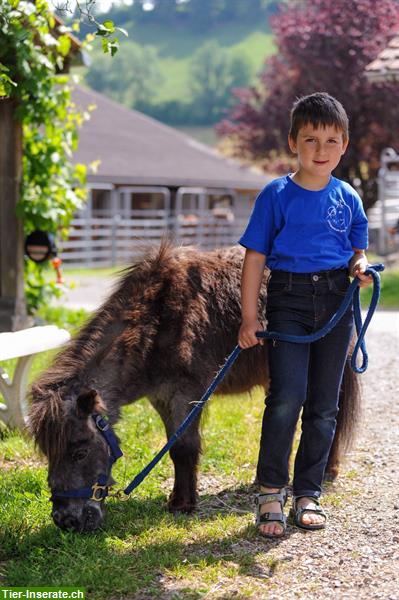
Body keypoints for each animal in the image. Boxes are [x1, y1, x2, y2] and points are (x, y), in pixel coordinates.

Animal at [27, 241, 360, 532]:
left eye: (80, 452)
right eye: (47, 452)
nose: (65, 521)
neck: (156, 320)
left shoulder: (185, 395)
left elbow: (185, 447)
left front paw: (184, 504)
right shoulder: (161, 398)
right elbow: (174, 447)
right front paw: (179, 498)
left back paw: (327, 470)